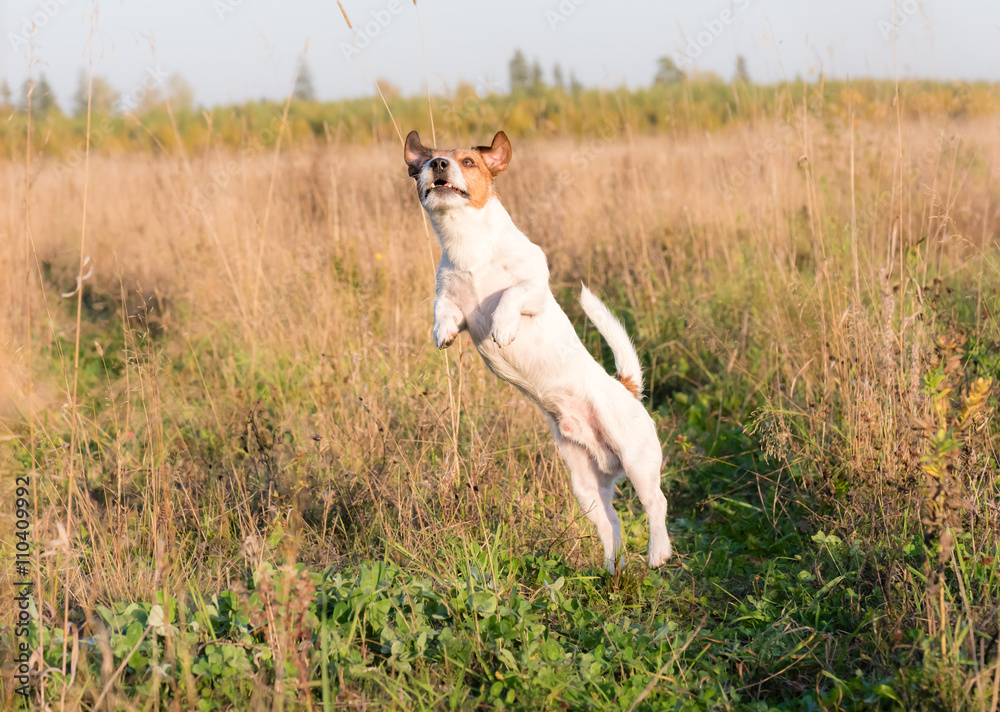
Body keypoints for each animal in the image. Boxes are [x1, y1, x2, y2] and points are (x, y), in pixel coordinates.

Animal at [404, 131, 672, 572]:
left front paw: (503, 327)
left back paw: (658, 552)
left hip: (637, 459)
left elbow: (511, 296)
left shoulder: (536, 291)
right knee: (611, 524)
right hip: (585, 487)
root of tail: (627, 388)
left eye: (468, 162)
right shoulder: (452, 301)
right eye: (426, 163)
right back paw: (611, 569)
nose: (439, 164)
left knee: (657, 505)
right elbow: (443, 309)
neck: (468, 244)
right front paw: (441, 333)